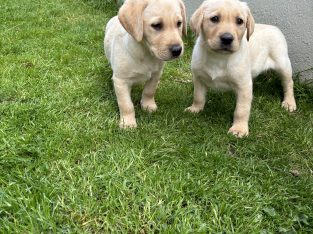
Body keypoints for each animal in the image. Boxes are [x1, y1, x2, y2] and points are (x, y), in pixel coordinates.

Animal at [103, 0, 185, 128]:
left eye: (179, 23)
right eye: (156, 25)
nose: (177, 50)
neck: (146, 53)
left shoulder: (156, 74)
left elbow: (149, 91)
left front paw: (148, 105)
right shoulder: (121, 80)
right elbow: (126, 104)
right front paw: (128, 122)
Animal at [185, 0, 294, 137]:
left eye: (239, 21)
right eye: (214, 18)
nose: (227, 38)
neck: (219, 57)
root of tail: (274, 27)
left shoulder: (244, 86)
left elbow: (241, 110)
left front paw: (239, 128)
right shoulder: (199, 78)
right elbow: (198, 96)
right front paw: (195, 109)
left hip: (283, 64)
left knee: (288, 83)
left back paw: (289, 103)